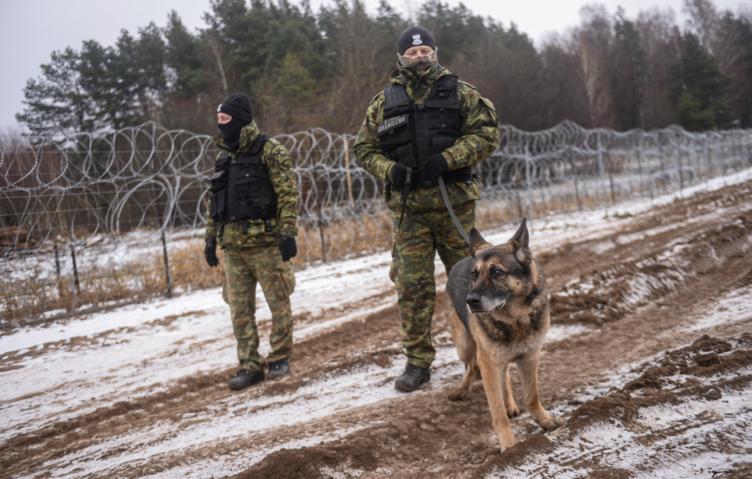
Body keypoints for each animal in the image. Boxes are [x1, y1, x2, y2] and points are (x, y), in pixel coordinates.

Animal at [444, 219, 560, 452]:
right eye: (475, 275)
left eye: (497, 272)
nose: (470, 302)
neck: (514, 319)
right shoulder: (489, 363)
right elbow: (498, 414)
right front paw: (510, 448)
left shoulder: (530, 357)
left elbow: (532, 396)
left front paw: (543, 419)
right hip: (465, 346)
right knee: (471, 366)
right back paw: (461, 390)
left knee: (502, 374)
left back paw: (511, 404)